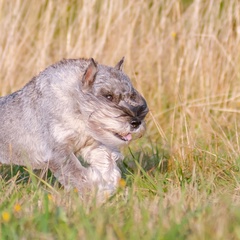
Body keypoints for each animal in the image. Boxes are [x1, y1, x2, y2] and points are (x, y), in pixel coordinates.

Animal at [0, 58, 148, 199]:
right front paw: (94, 195)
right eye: (109, 96)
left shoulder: (93, 143)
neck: (77, 107)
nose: (136, 122)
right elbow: (79, 175)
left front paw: (107, 186)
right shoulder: (59, 152)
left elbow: (106, 162)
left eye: (131, 96)